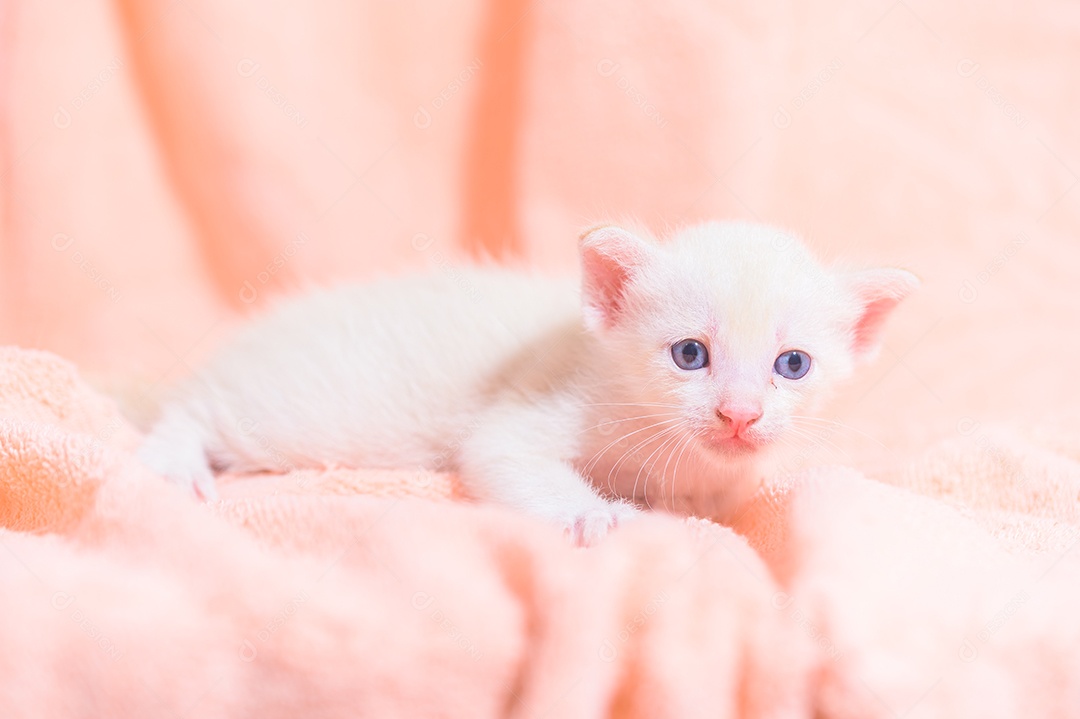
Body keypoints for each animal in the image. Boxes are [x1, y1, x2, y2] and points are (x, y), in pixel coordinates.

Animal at [139, 220, 920, 544]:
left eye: (793, 364)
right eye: (689, 354)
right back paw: (174, 461)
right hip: (289, 414)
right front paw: (595, 513)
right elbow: (505, 457)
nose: (739, 414)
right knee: (189, 409)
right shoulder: (529, 407)